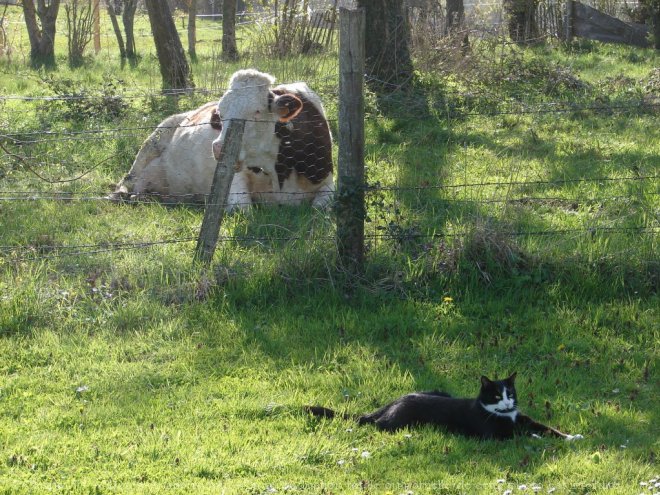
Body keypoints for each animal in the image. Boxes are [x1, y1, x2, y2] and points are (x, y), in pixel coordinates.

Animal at [111, 70, 336, 209]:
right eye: (221, 113)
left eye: (257, 112)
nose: (219, 148)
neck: (279, 170)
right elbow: (242, 207)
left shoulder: (328, 181)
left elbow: (320, 207)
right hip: (153, 140)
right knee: (128, 179)